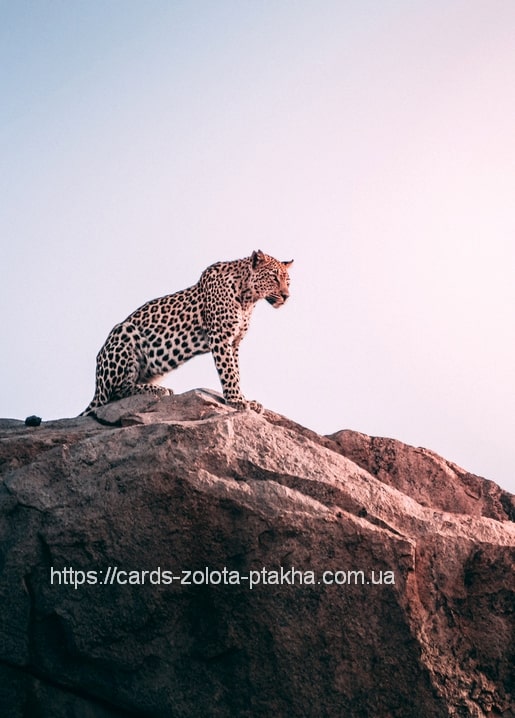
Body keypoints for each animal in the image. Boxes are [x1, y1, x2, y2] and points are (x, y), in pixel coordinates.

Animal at [80, 250, 293, 417]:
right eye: (274, 277)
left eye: (288, 281)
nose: (286, 296)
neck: (248, 299)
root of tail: (96, 388)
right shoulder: (220, 337)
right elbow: (229, 372)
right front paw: (236, 401)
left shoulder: (234, 342)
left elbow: (236, 371)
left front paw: (245, 399)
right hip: (124, 332)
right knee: (116, 393)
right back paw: (158, 390)